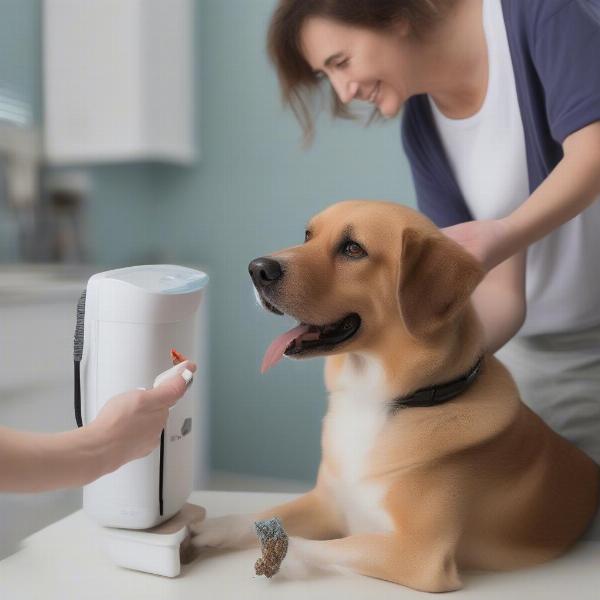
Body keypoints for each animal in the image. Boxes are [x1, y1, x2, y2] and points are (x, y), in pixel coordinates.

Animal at [189, 200, 600, 592]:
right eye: (307, 235)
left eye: (353, 249)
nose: (256, 268)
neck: (378, 401)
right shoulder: (325, 501)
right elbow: (258, 516)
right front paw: (210, 528)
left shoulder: (418, 554)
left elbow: (313, 544)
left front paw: (275, 553)